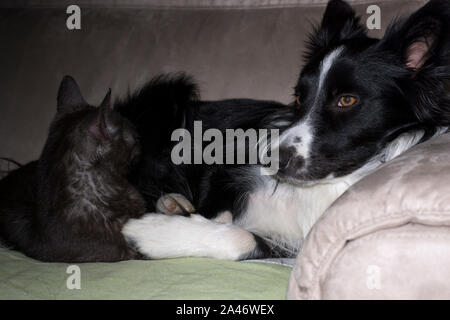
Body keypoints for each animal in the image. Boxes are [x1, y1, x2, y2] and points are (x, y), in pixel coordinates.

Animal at [121, 0, 450, 260]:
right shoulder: (224, 167)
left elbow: (242, 236)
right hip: (167, 100)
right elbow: (220, 214)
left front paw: (151, 234)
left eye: (347, 100)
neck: (325, 184)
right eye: (299, 97)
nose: (271, 160)